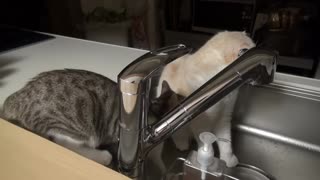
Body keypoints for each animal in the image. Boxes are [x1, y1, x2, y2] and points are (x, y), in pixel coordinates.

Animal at [156, 31, 254, 167]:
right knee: (179, 135)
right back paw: (183, 145)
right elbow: (207, 146)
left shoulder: (224, 117)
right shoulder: (200, 122)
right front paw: (206, 163)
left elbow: (226, 144)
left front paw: (228, 161)